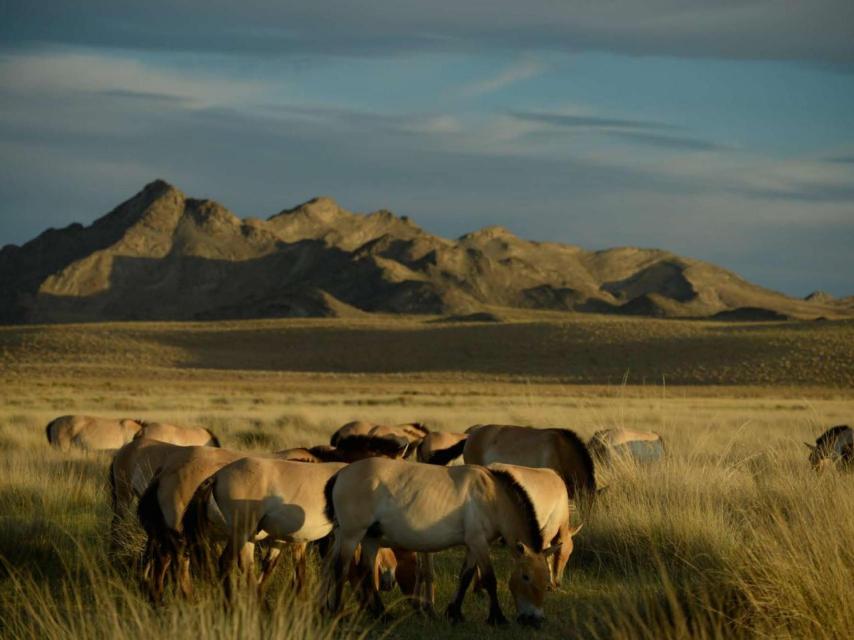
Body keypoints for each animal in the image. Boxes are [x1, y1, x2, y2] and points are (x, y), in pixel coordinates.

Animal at [325, 457, 564, 627]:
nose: (535, 619)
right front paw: (497, 617)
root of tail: (341, 473)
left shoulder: (473, 544)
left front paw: (455, 613)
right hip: (352, 535)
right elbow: (490, 579)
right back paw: (338, 612)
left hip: (371, 538)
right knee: (340, 569)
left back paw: (381, 614)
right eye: (526, 577)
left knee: (366, 571)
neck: (492, 496)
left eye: (546, 580)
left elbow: (465, 577)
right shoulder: (478, 542)